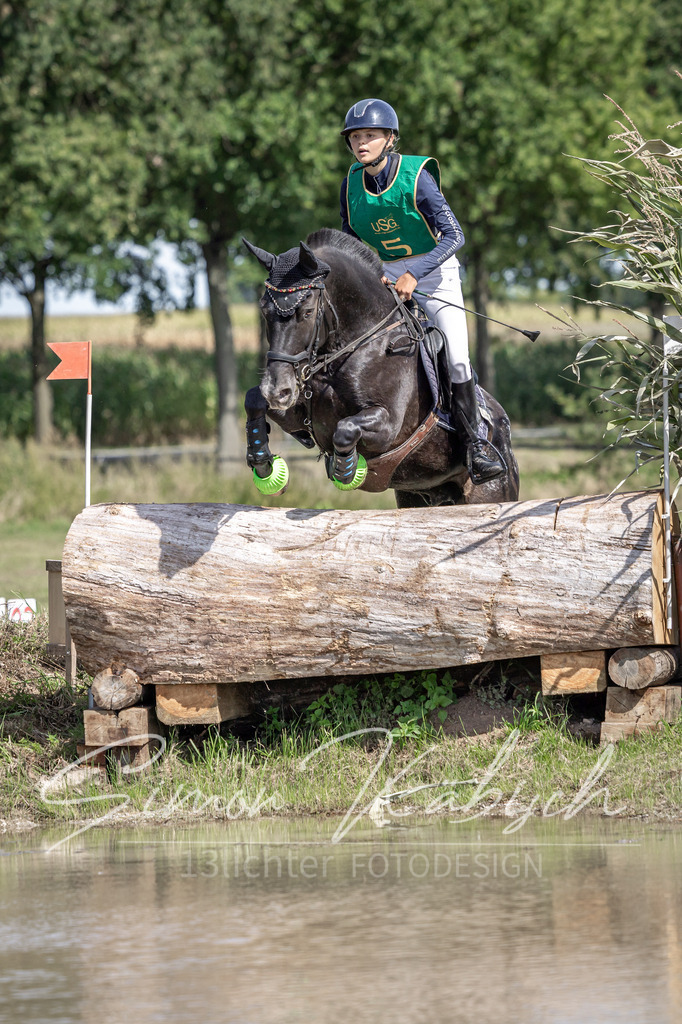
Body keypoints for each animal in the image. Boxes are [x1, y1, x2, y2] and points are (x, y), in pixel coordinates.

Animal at [243, 227, 519, 508]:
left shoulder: (388, 425)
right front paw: (262, 462)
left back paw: (483, 460)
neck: (359, 342)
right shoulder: (300, 411)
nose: (277, 390)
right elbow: (253, 399)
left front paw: (347, 469)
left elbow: (345, 430)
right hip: (416, 495)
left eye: (307, 312)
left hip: (489, 492)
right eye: (264, 310)